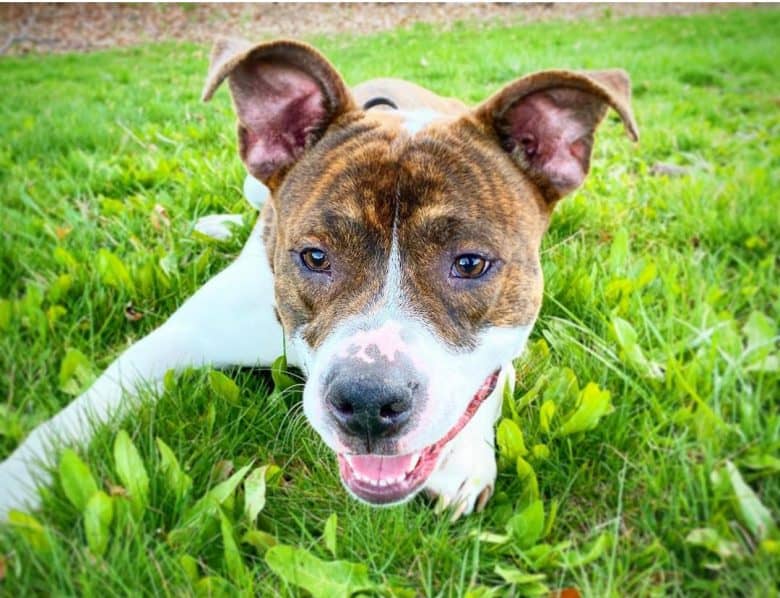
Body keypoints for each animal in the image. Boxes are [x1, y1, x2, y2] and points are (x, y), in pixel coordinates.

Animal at [0, 39, 636, 524]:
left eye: (471, 264)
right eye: (313, 256)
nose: (369, 402)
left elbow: (488, 385)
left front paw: (465, 460)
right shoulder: (171, 343)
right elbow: (76, 415)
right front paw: (18, 482)